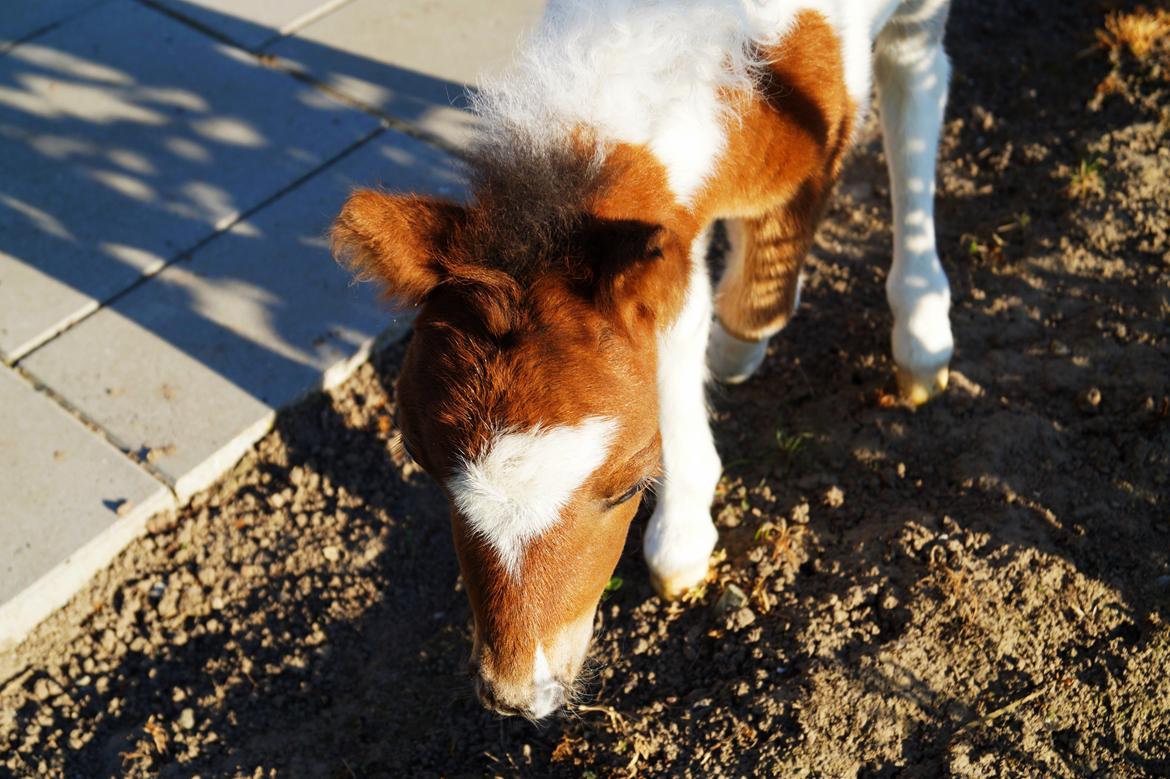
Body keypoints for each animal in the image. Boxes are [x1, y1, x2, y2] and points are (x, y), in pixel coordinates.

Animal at [334, 0, 954, 715]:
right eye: (422, 463)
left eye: (631, 486)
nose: (521, 691)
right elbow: (678, 320)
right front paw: (686, 525)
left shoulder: (818, 139)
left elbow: (743, 306)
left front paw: (730, 368)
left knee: (919, 72)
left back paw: (922, 335)